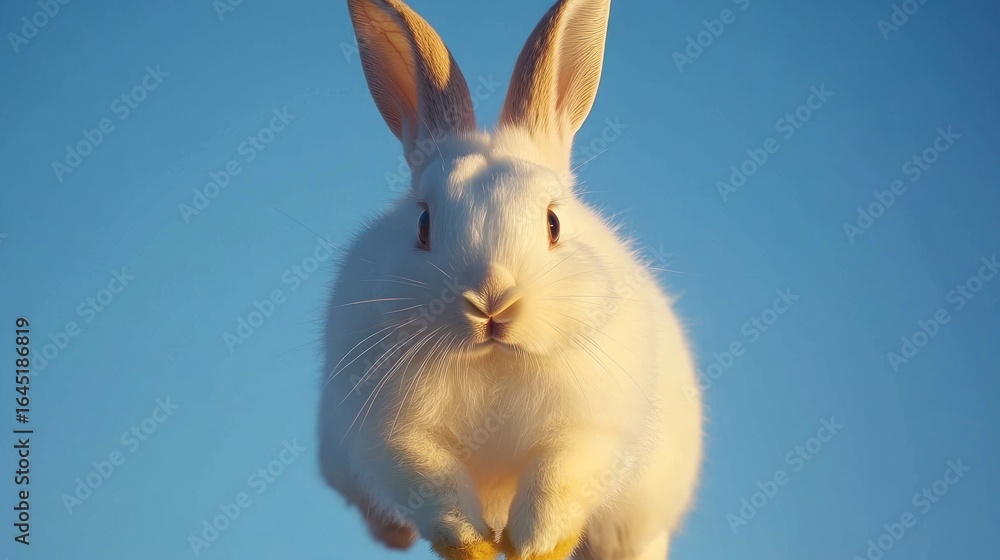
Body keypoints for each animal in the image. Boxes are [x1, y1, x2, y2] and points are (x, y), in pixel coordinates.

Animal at [317, 0, 703, 559]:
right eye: (424, 223)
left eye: (553, 223)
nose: (491, 301)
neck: (495, 360)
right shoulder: (399, 445)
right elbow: (447, 508)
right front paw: (481, 547)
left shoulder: (584, 438)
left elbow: (550, 502)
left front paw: (529, 549)